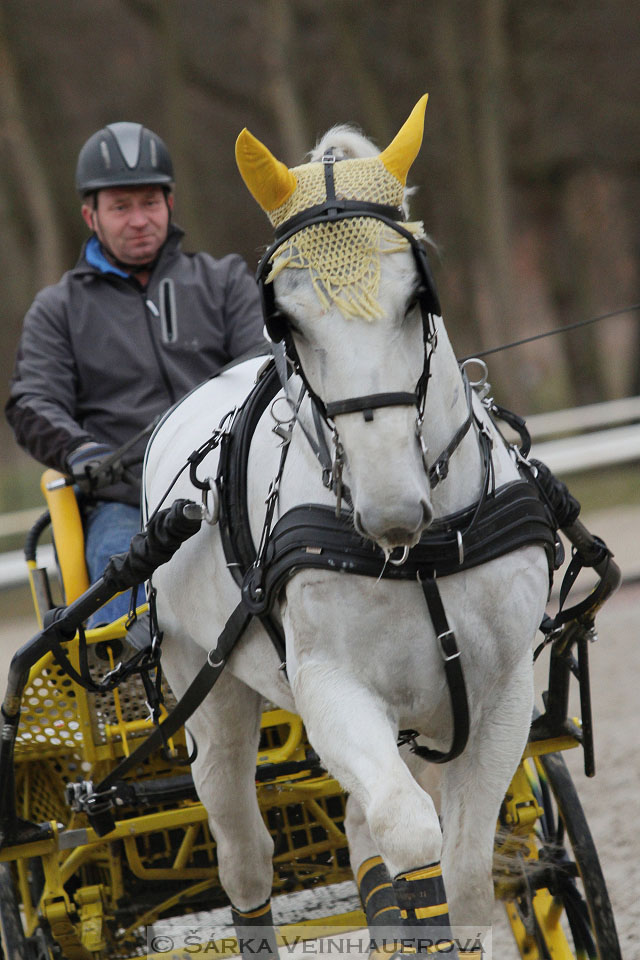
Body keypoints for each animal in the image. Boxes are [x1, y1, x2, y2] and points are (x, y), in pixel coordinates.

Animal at [144, 94, 544, 956]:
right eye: (288, 320)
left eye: (417, 296)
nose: (391, 508)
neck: (419, 555)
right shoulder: (332, 690)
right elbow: (411, 833)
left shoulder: (501, 695)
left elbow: (464, 877)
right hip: (209, 695)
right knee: (245, 858)